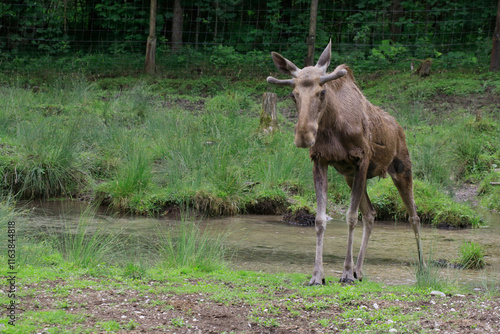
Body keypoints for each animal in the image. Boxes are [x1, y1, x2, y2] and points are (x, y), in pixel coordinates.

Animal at [268, 39, 424, 284]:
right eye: (293, 95)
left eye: (322, 92)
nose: (303, 136)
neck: (332, 127)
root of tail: (399, 127)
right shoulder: (320, 161)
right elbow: (320, 219)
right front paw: (318, 275)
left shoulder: (362, 159)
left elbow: (351, 217)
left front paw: (345, 273)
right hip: (351, 177)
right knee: (371, 214)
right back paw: (359, 269)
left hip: (402, 169)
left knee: (414, 216)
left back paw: (422, 266)